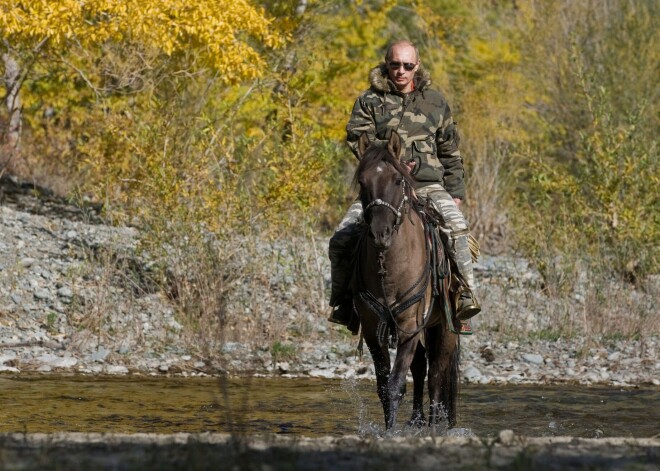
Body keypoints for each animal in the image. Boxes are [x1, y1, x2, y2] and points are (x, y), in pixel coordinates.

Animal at [354, 132, 462, 432]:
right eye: (362, 181)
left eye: (397, 180)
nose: (380, 233)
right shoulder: (372, 329)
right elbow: (383, 386)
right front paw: (389, 430)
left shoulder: (410, 326)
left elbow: (396, 384)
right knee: (422, 366)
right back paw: (416, 421)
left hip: (446, 327)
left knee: (436, 372)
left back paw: (434, 426)